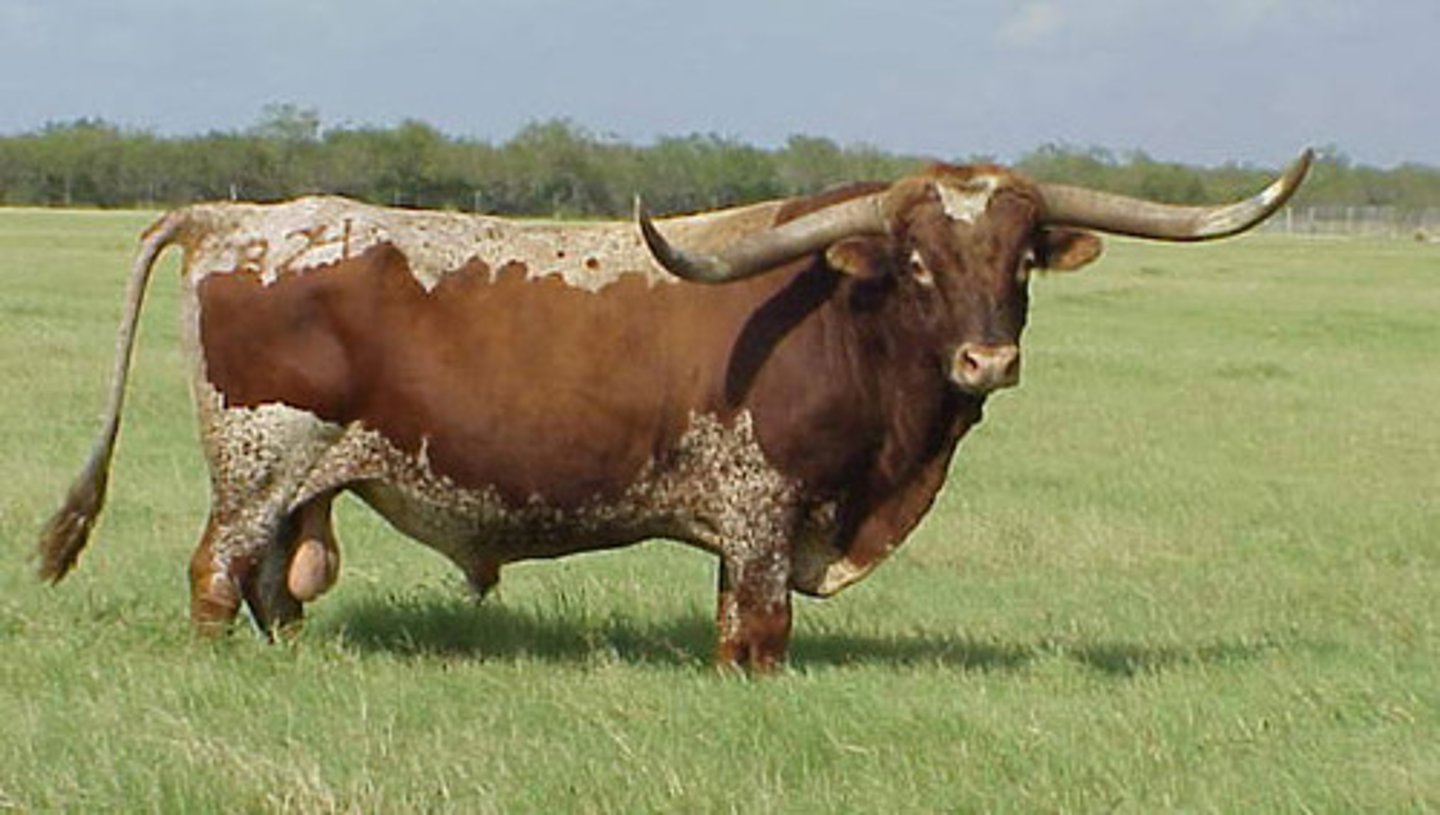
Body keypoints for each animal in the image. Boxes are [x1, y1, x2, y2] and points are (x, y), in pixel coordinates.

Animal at [36, 150, 1312, 670]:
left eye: (1018, 257)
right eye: (913, 259)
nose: (987, 356)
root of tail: (236, 217)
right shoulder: (762, 509)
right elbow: (759, 630)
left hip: (302, 479)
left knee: (277, 583)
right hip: (257, 461)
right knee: (216, 572)